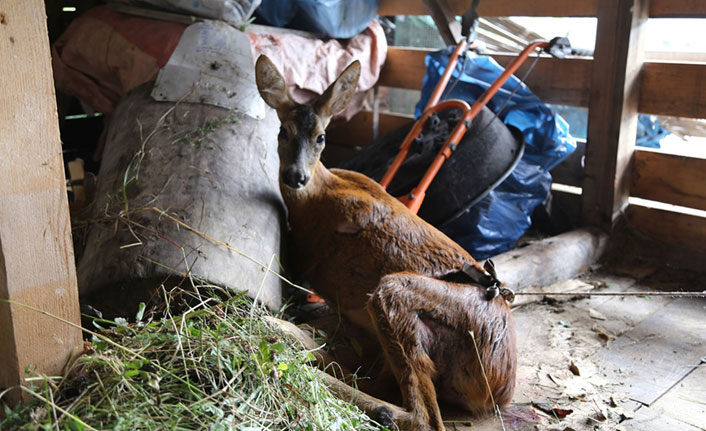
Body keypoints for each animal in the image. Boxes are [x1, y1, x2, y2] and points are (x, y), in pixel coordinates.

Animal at [254, 55, 516, 431]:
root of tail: (500, 387)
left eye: (321, 137)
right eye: (282, 132)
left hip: (395, 293)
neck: (319, 193)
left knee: (422, 417)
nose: (295, 176)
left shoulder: (305, 258)